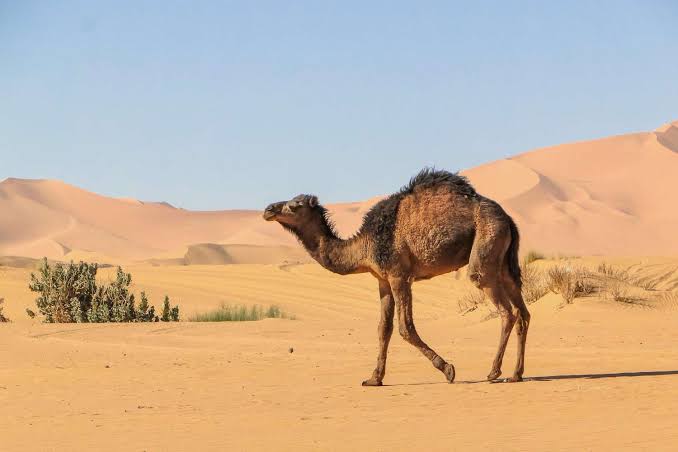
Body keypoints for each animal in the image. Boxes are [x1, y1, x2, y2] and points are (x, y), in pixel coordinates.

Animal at [263, 169, 530, 386]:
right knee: (523, 312)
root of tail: (508, 218)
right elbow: (384, 328)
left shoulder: (398, 275)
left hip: (486, 241)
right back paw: (515, 374)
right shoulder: (382, 279)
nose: (268, 210)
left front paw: (447, 369)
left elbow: (405, 327)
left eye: (295, 205)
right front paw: (374, 379)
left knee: (504, 308)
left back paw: (494, 372)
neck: (364, 245)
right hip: (503, 259)